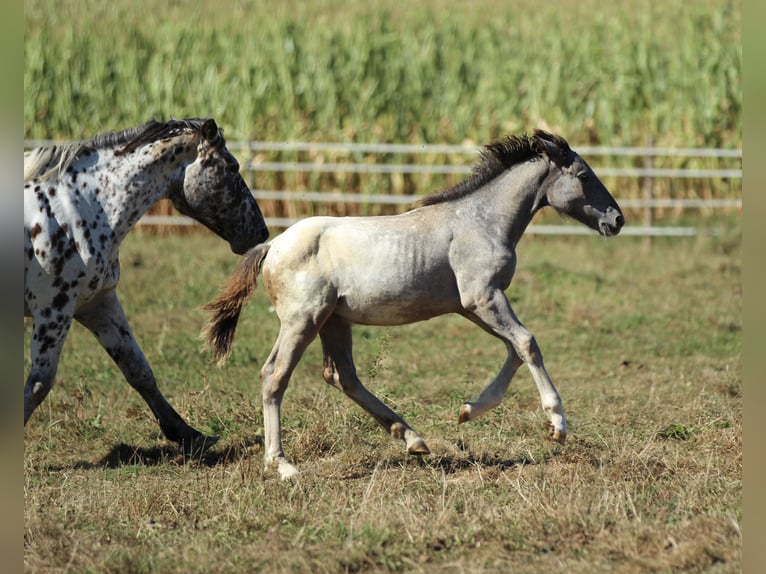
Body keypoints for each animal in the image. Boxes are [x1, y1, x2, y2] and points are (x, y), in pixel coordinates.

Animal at [24, 118, 270, 454]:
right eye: (232, 166)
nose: (262, 231)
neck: (77, 211)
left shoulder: (96, 303)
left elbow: (138, 370)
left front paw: (189, 434)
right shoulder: (53, 310)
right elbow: (39, 383)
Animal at [204, 130, 624, 476]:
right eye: (584, 177)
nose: (617, 220)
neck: (480, 222)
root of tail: (273, 244)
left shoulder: (473, 306)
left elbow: (514, 350)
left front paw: (468, 410)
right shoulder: (484, 298)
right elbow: (527, 343)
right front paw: (558, 425)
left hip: (333, 320)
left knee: (342, 376)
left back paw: (412, 438)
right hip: (302, 321)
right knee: (275, 376)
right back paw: (282, 464)